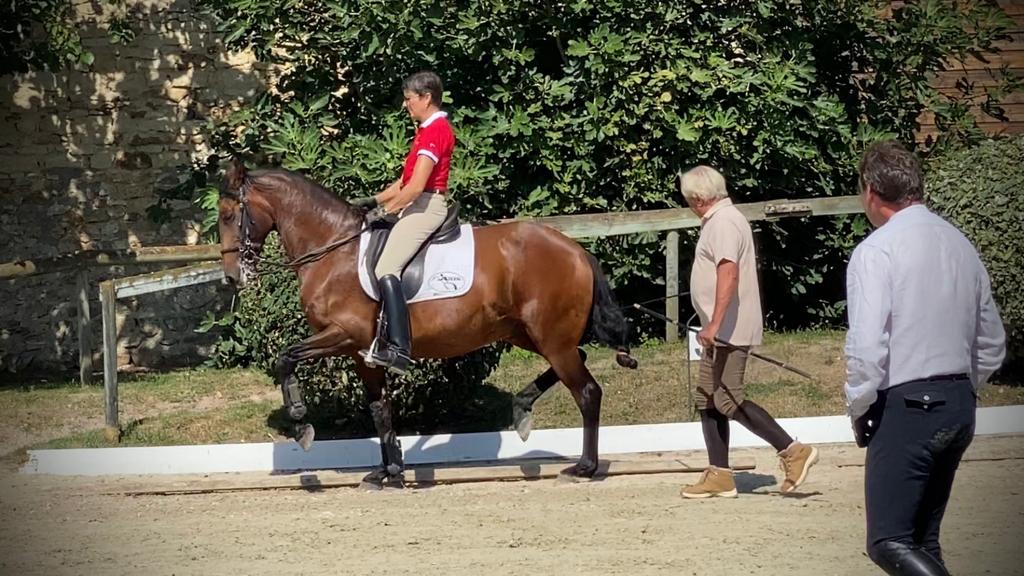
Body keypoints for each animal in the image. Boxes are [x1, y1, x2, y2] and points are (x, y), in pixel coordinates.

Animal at [217, 158, 634, 485]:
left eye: (227, 216)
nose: (233, 277)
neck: (334, 251)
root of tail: (576, 249)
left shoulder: (342, 334)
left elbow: (285, 357)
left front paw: (302, 424)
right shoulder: (361, 351)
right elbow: (380, 409)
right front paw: (388, 472)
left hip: (549, 337)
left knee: (587, 391)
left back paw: (585, 467)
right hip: (527, 332)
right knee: (578, 358)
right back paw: (522, 408)